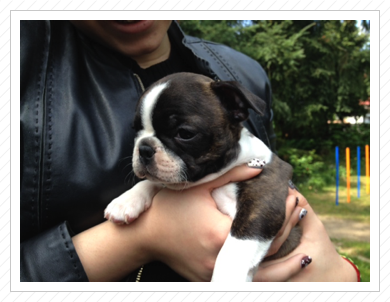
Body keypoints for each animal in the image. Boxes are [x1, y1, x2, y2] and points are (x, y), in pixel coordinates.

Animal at [104, 72, 302, 282]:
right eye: (136, 130)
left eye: (184, 133)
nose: (144, 147)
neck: (217, 174)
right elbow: (153, 182)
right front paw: (126, 200)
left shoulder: (264, 192)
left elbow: (239, 242)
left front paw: (225, 279)